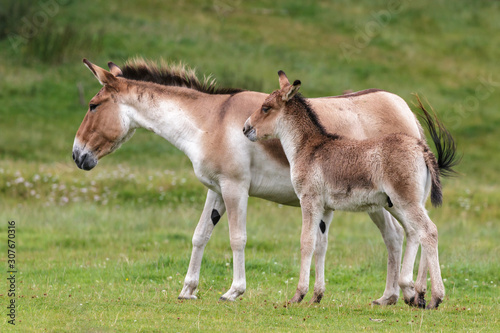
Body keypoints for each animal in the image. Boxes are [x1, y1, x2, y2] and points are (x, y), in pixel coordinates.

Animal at [74, 59, 424, 304]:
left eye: (93, 106)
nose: (77, 155)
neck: (209, 121)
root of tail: (404, 109)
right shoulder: (215, 188)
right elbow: (200, 235)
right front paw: (188, 289)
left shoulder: (234, 187)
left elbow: (237, 238)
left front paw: (234, 291)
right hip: (380, 202)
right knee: (398, 236)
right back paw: (392, 297)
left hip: (390, 200)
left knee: (412, 233)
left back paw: (411, 294)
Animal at [242, 71, 458, 308]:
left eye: (266, 108)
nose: (245, 128)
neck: (308, 148)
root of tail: (421, 148)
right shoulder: (326, 208)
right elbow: (321, 245)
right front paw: (317, 295)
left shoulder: (309, 201)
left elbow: (306, 242)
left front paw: (298, 295)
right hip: (406, 203)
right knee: (415, 233)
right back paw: (416, 294)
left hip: (406, 202)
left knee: (429, 232)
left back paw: (435, 297)